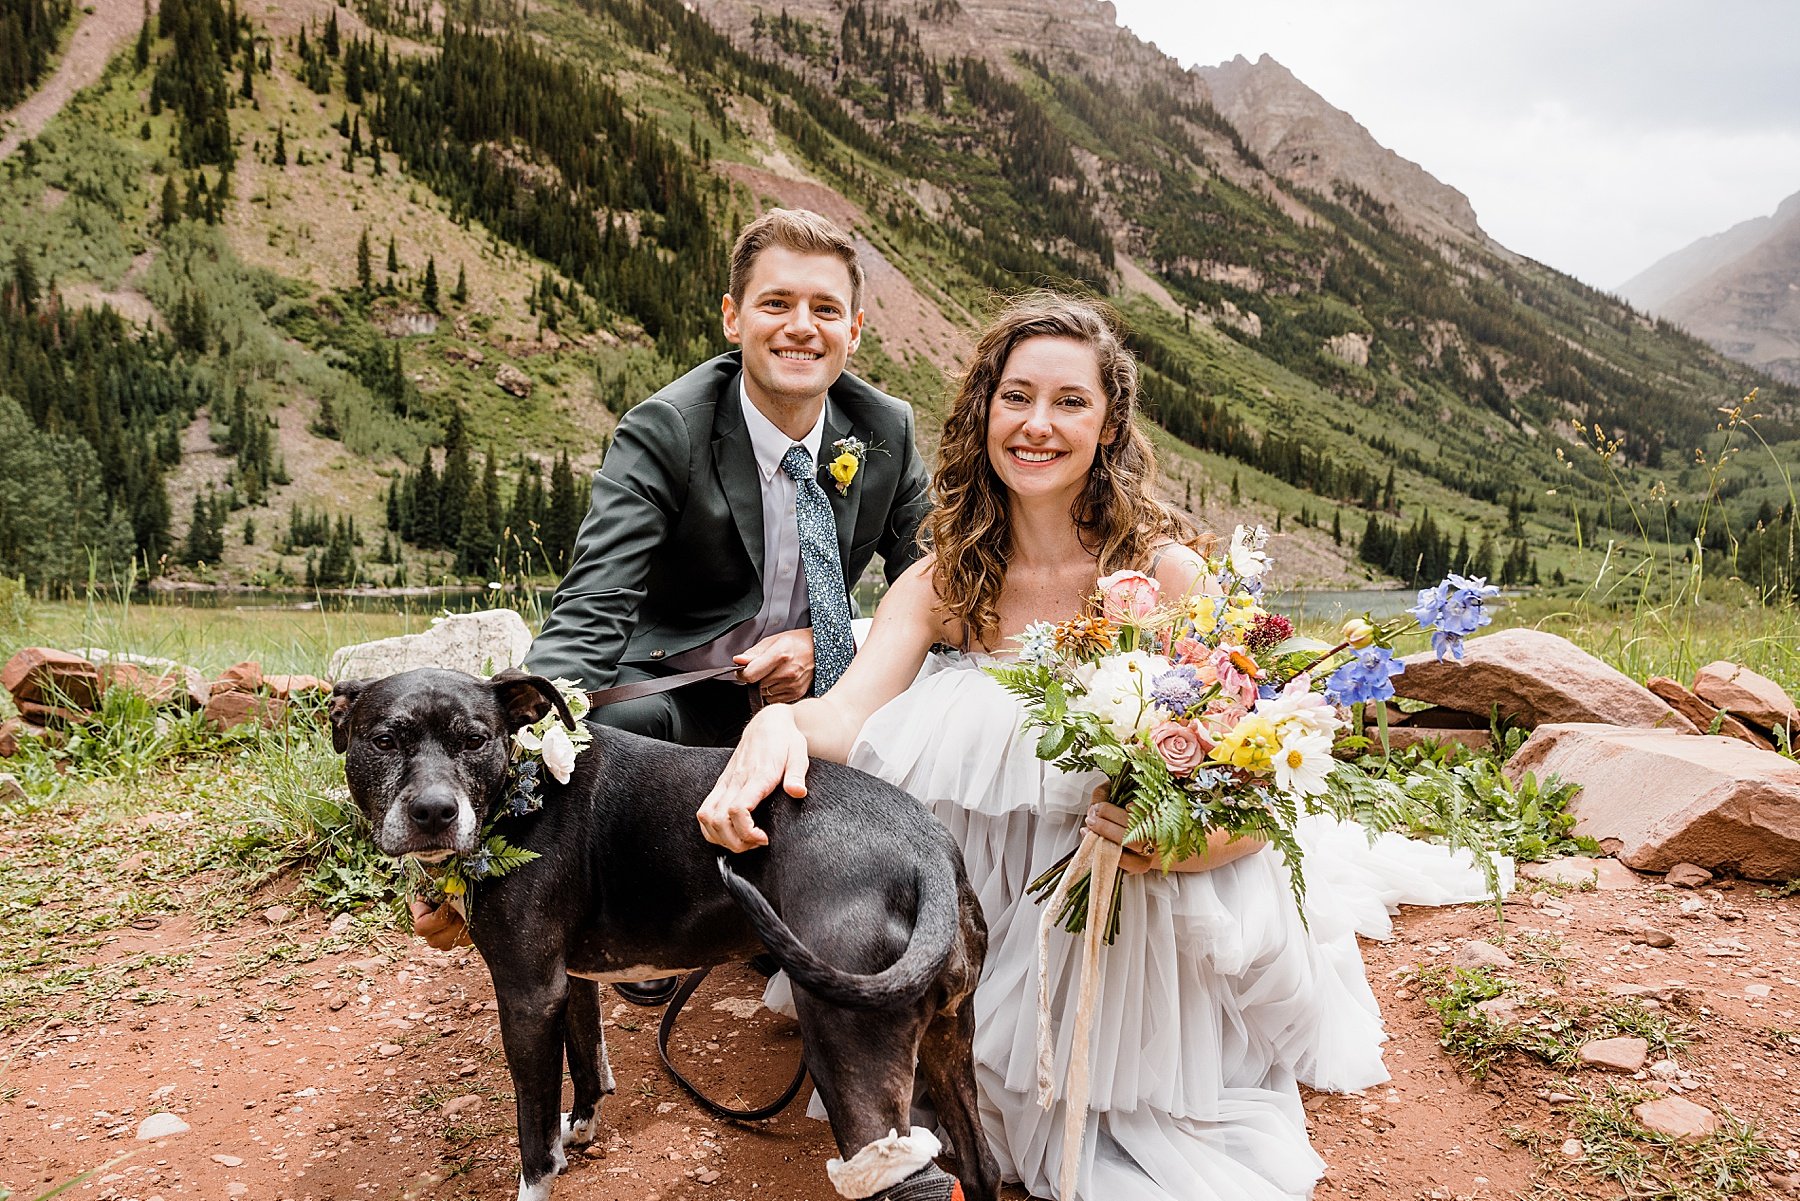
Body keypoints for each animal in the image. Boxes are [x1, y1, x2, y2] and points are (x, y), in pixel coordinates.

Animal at [333, 666, 1008, 1201]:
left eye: (474, 740)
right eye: (385, 739)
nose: (434, 812)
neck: (521, 792)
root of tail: (927, 851)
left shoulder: (526, 997)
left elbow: (533, 1139)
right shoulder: (569, 982)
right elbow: (588, 1062)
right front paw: (581, 1128)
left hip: (849, 1055)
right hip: (949, 1041)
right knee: (981, 1167)